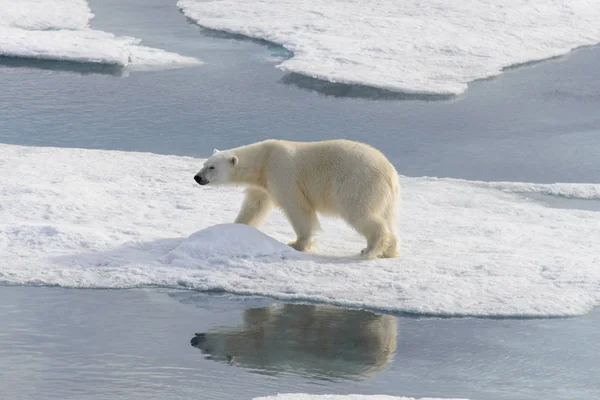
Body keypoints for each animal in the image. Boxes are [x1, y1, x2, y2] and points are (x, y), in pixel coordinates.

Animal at [192, 140, 398, 260]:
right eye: (204, 163)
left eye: (212, 167)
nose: (197, 177)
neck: (263, 160)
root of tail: (389, 172)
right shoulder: (263, 185)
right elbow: (255, 206)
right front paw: (236, 228)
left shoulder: (282, 173)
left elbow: (297, 208)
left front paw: (297, 244)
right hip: (385, 197)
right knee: (387, 218)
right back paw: (389, 251)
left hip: (356, 184)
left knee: (361, 214)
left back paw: (370, 250)